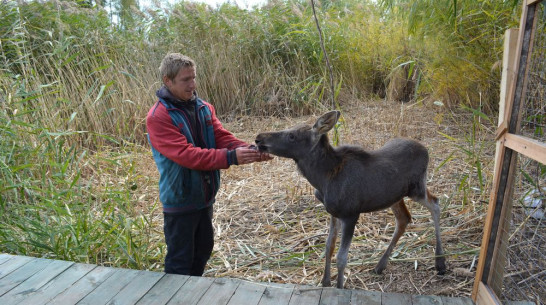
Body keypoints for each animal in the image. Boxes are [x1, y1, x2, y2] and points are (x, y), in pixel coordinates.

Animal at [253, 110, 444, 288]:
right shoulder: (333, 213)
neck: (323, 179)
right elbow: (329, 247)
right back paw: (380, 265)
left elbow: (342, 257)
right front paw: (325, 282)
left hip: (416, 189)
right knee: (404, 218)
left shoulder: (351, 214)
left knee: (435, 203)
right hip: (394, 196)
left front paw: (340, 286)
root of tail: (425, 149)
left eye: (292, 136)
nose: (258, 138)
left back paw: (440, 262)